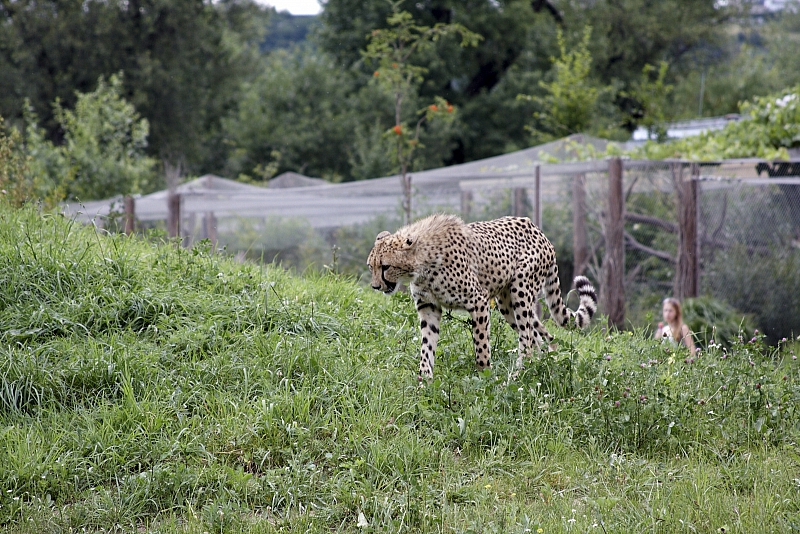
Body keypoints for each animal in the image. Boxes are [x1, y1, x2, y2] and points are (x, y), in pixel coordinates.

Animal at [366, 216, 596, 378]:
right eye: (371, 266)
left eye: (385, 266)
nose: (376, 286)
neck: (421, 263)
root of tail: (538, 229)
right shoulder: (428, 306)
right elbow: (427, 346)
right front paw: (424, 381)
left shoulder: (479, 301)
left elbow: (481, 346)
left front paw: (484, 377)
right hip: (507, 303)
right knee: (538, 335)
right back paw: (541, 365)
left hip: (521, 291)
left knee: (528, 339)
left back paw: (517, 376)